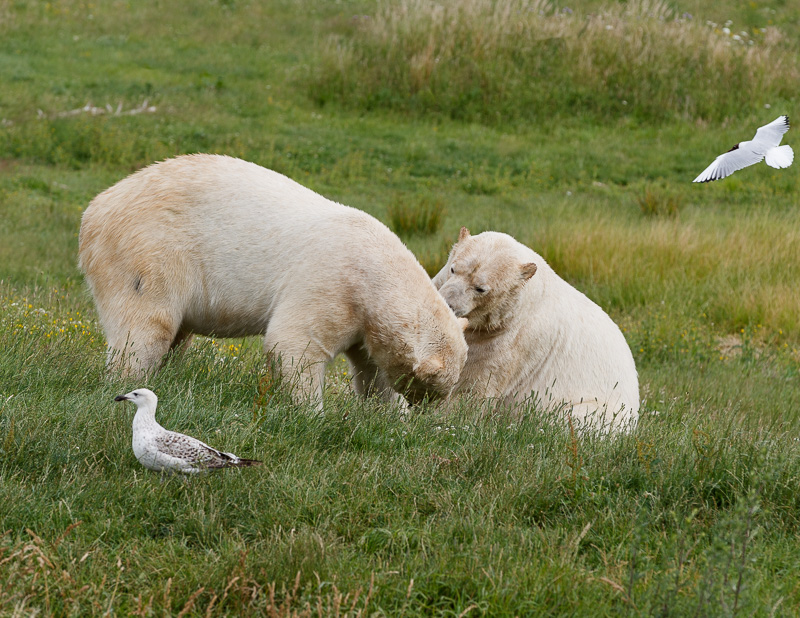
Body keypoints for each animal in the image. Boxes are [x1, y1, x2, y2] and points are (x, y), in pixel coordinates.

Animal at [79, 154, 469, 408]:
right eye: (433, 387)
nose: (426, 409)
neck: (377, 270)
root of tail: (94, 210)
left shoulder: (366, 319)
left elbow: (373, 369)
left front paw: (386, 416)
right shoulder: (333, 281)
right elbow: (295, 342)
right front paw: (311, 412)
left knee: (177, 335)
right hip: (150, 253)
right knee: (147, 326)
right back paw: (129, 382)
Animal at [432, 228, 639, 433]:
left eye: (480, 288)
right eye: (453, 269)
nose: (448, 303)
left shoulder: (510, 339)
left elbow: (475, 386)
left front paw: (447, 418)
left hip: (597, 411)